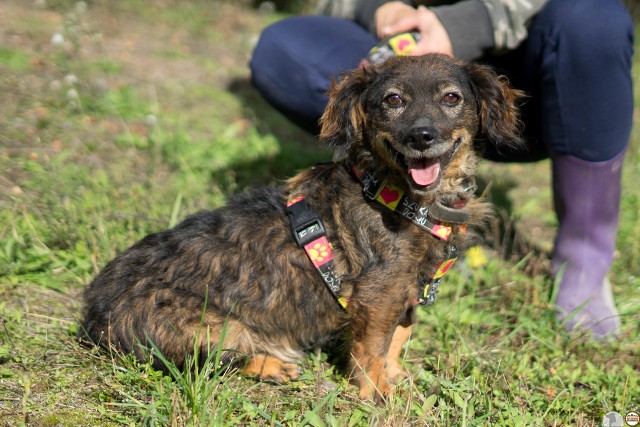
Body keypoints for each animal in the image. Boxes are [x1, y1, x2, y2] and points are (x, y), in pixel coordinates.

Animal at [81, 52, 520, 402]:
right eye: (393, 100)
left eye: (451, 98)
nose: (422, 135)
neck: (403, 198)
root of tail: (93, 313)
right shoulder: (377, 295)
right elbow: (374, 349)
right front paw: (378, 393)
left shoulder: (407, 290)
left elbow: (398, 339)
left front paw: (396, 377)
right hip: (212, 327)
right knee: (216, 360)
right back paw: (273, 365)